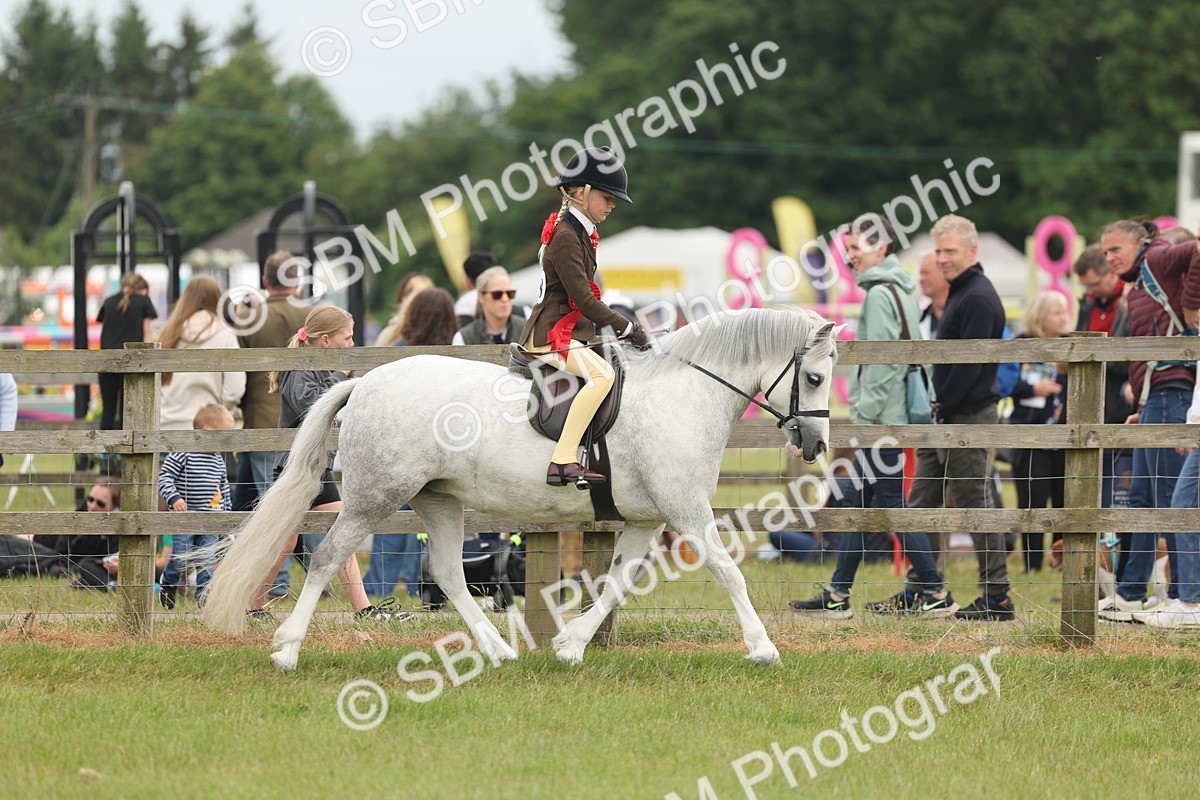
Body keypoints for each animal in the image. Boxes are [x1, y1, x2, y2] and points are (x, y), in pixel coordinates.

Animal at [200, 307, 840, 671]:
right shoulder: (687, 512)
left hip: (439, 499)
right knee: (330, 556)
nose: (815, 445)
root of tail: (364, 382)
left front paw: (572, 646)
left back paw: (499, 650)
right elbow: (730, 573)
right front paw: (763, 647)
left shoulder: (646, 520)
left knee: (448, 572)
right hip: (371, 499)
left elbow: (616, 582)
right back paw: (287, 649)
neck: (681, 395)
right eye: (813, 376)